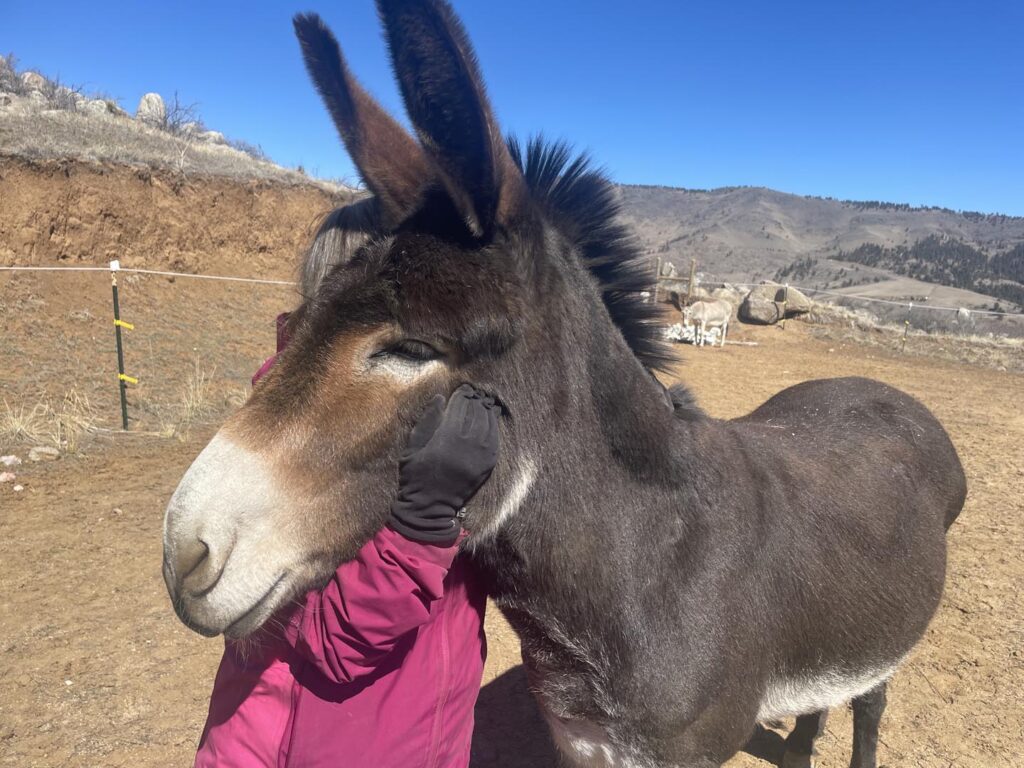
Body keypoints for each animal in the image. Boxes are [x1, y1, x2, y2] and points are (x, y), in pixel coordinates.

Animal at [162, 3, 967, 767]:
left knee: (871, 700)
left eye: (411, 349)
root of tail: (880, 388)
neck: (651, 560)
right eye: (301, 321)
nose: (180, 556)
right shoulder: (581, 741)